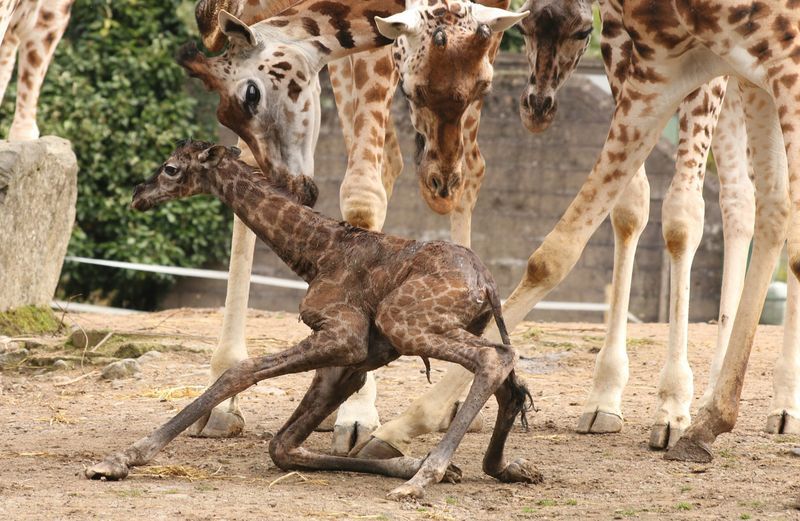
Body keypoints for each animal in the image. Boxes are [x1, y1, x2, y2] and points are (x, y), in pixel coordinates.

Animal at [86, 139, 542, 500]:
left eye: (170, 167)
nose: (138, 194)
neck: (317, 253)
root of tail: (486, 284)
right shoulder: (351, 363)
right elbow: (282, 446)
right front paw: (408, 464)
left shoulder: (345, 337)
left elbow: (240, 373)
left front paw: (120, 459)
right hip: (451, 326)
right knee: (511, 383)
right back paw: (503, 468)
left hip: (404, 321)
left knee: (495, 359)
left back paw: (424, 479)